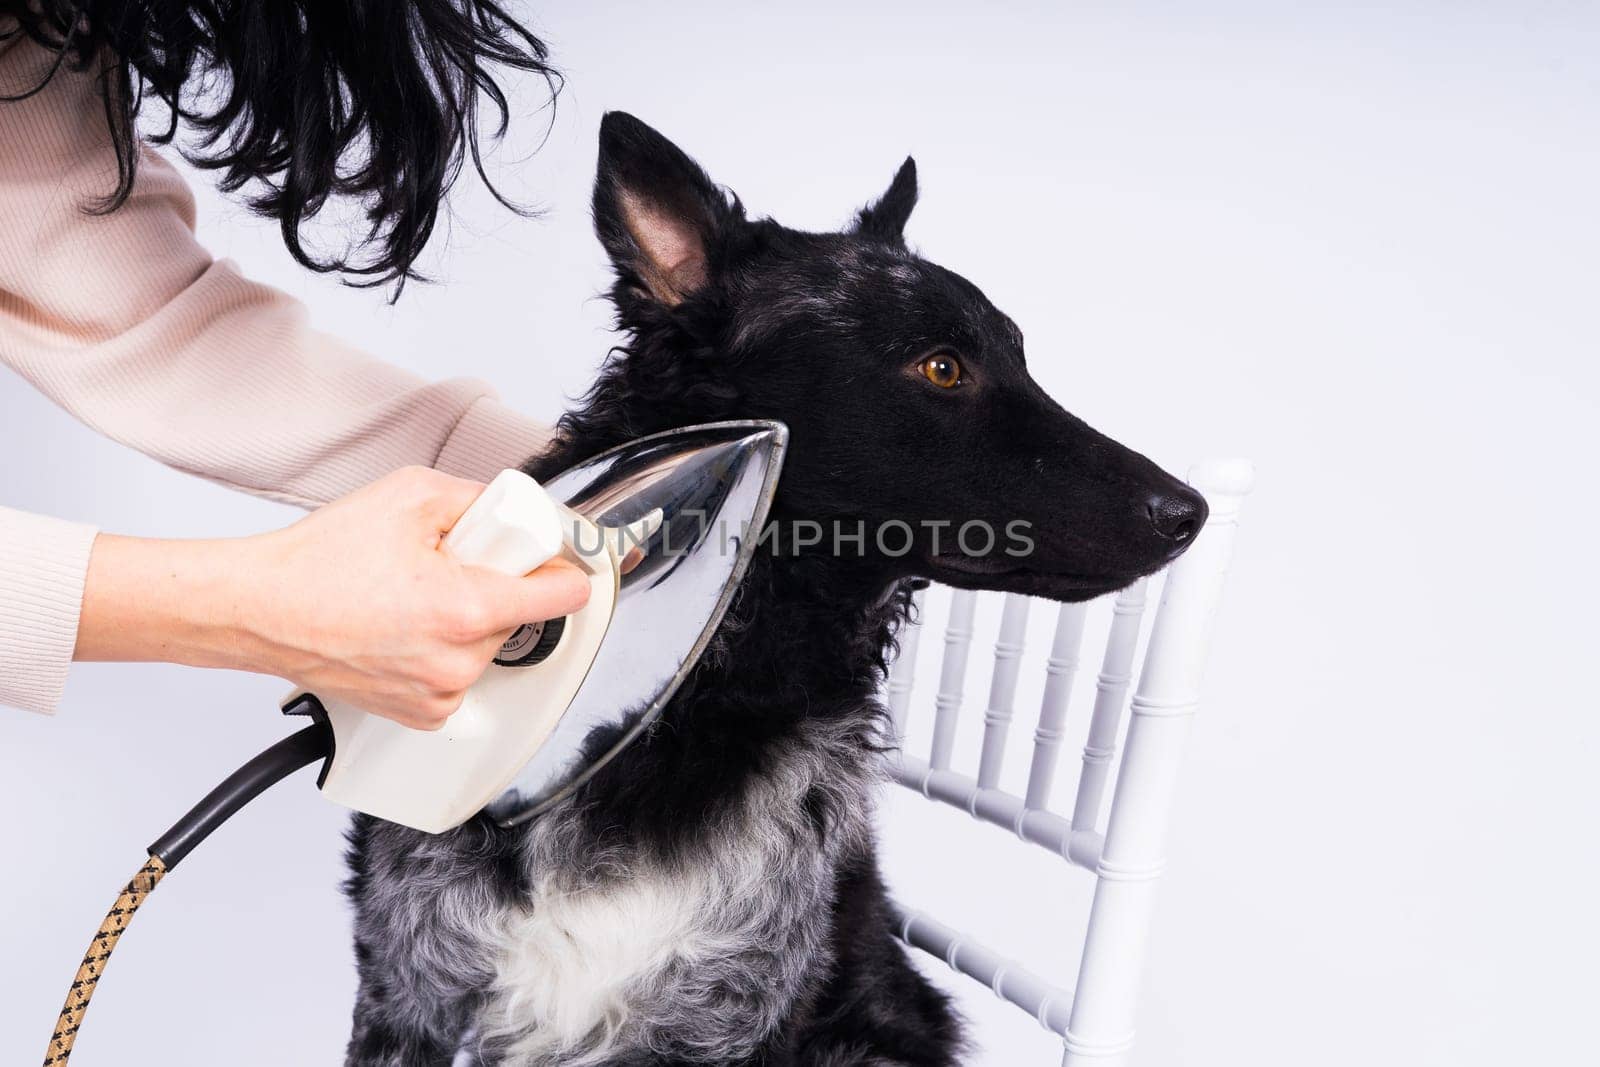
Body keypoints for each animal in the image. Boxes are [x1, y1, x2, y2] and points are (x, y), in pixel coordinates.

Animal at [347, 112, 1203, 1062]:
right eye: (943, 368)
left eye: (1020, 355)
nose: (1188, 511)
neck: (704, 688)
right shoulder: (404, 996)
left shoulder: (724, 1012)